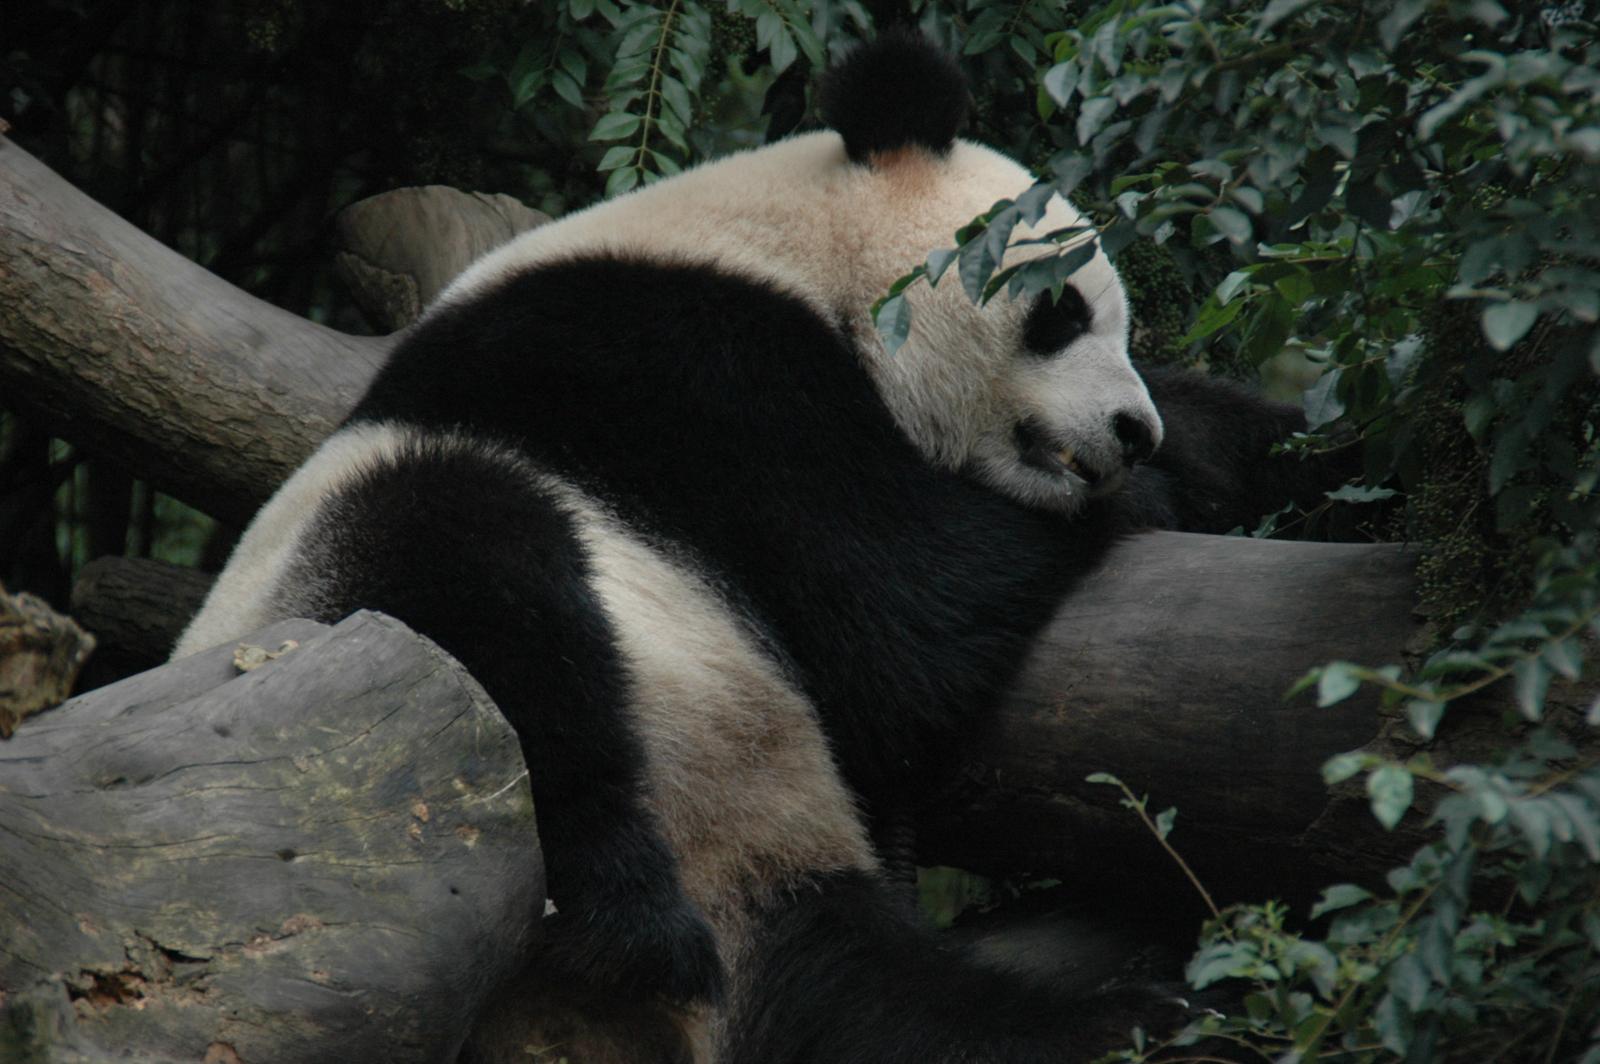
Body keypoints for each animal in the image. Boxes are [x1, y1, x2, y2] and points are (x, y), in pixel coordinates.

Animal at [175, 30, 1315, 1064]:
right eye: (1061, 311)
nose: (1131, 431)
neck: (789, 247)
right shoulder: (684, 372)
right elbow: (899, 603)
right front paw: (1145, 498)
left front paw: (1258, 455)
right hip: (342, 608)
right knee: (483, 592)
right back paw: (633, 924)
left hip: (782, 860)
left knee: (881, 1004)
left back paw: (1149, 1025)